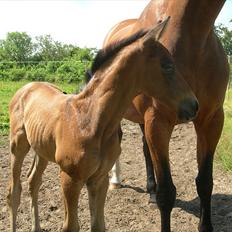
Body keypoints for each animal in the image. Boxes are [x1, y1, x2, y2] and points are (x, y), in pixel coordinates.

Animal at [7, 20, 198, 232]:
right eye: (167, 66)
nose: (194, 105)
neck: (90, 120)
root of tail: (28, 86)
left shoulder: (99, 179)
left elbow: (98, 225)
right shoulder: (69, 179)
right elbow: (71, 226)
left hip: (42, 150)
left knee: (34, 182)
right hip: (18, 146)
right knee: (14, 191)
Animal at [104, 0, 229, 232]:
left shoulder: (211, 120)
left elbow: (205, 181)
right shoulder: (158, 121)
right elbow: (167, 193)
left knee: (145, 150)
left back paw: (150, 191)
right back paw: (115, 181)